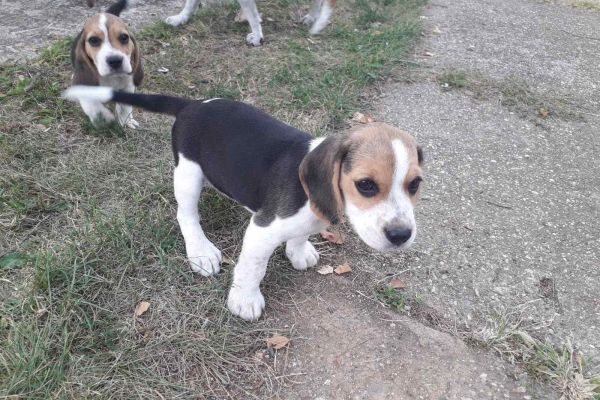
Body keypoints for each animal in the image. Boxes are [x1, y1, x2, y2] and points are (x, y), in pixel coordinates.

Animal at [63, 86, 424, 320]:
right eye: (366, 185)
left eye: (415, 184)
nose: (401, 235)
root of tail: (192, 105)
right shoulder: (263, 229)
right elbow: (253, 267)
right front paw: (244, 301)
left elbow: (300, 234)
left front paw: (298, 251)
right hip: (188, 173)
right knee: (185, 214)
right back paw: (200, 252)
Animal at [70, 0, 143, 128]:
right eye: (93, 40)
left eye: (124, 37)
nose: (115, 61)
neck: (111, 78)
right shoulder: (84, 89)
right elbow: (93, 106)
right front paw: (103, 118)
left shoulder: (128, 86)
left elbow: (125, 107)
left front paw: (126, 120)